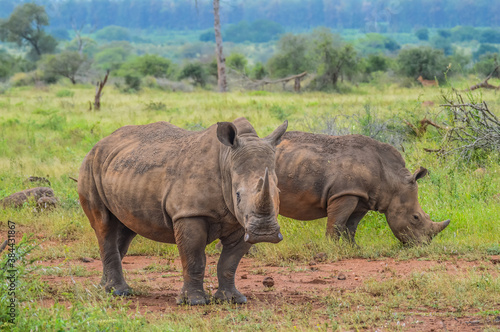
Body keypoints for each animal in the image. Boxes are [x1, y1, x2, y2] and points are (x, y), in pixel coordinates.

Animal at [79, 119, 290, 306]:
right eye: (237, 195)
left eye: (279, 193)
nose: (264, 233)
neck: (226, 161)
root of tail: (100, 143)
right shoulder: (189, 213)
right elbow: (194, 258)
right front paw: (194, 302)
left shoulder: (241, 223)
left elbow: (229, 262)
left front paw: (232, 300)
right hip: (90, 166)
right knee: (104, 225)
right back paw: (118, 292)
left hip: (123, 170)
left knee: (125, 228)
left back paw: (103, 288)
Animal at [276, 132, 452, 244]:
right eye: (416, 217)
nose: (424, 245)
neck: (391, 179)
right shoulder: (344, 193)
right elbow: (336, 224)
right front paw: (331, 248)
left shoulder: (363, 198)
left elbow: (351, 227)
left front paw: (353, 249)